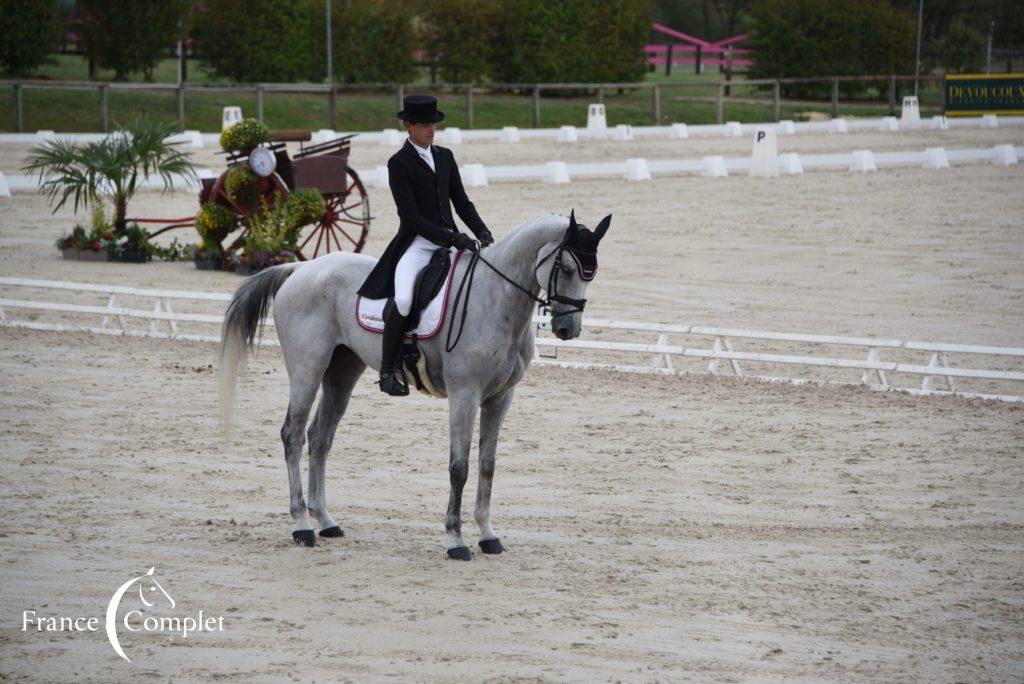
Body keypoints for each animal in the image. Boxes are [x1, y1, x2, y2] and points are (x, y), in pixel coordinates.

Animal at [220, 210, 610, 557]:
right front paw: (456, 540)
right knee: (294, 435)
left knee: (320, 438)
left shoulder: (500, 397)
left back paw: (326, 521)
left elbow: (487, 464)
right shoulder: (464, 395)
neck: (495, 299)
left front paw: (488, 535)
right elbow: (459, 467)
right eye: (567, 269)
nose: (568, 329)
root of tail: (301, 269)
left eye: (591, 274)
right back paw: (302, 526)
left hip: (342, 373)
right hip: (307, 370)